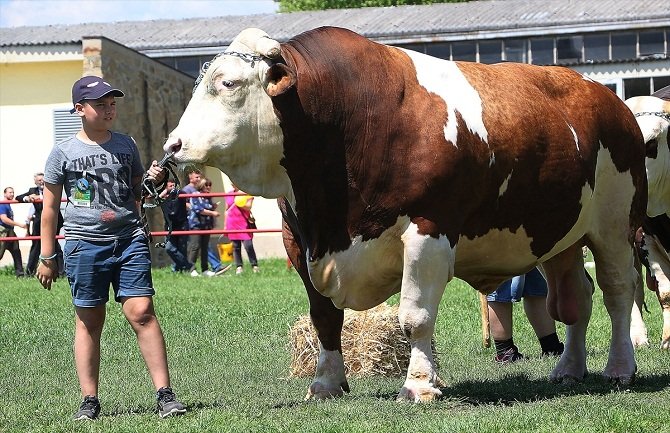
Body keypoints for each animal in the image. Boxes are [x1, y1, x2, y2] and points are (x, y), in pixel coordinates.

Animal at [164, 26, 652, 398]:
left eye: (228, 84)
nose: (172, 145)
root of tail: (611, 100)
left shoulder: (429, 230)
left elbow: (414, 317)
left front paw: (419, 385)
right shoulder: (300, 241)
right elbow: (325, 318)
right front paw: (325, 384)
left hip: (615, 225)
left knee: (617, 290)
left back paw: (620, 367)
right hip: (560, 234)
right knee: (576, 298)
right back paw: (569, 368)